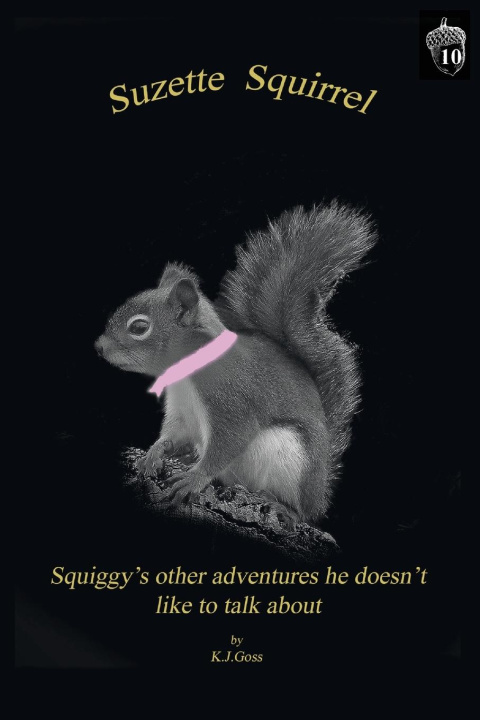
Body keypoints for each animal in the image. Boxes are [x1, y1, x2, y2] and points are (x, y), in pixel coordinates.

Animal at [95, 201, 376, 525]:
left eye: (139, 327)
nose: (98, 346)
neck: (188, 374)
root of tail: (321, 491)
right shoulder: (181, 409)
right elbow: (175, 433)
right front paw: (155, 452)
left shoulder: (232, 401)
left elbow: (228, 441)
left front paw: (194, 478)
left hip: (295, 463)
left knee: (302, 510)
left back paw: (283, 507)